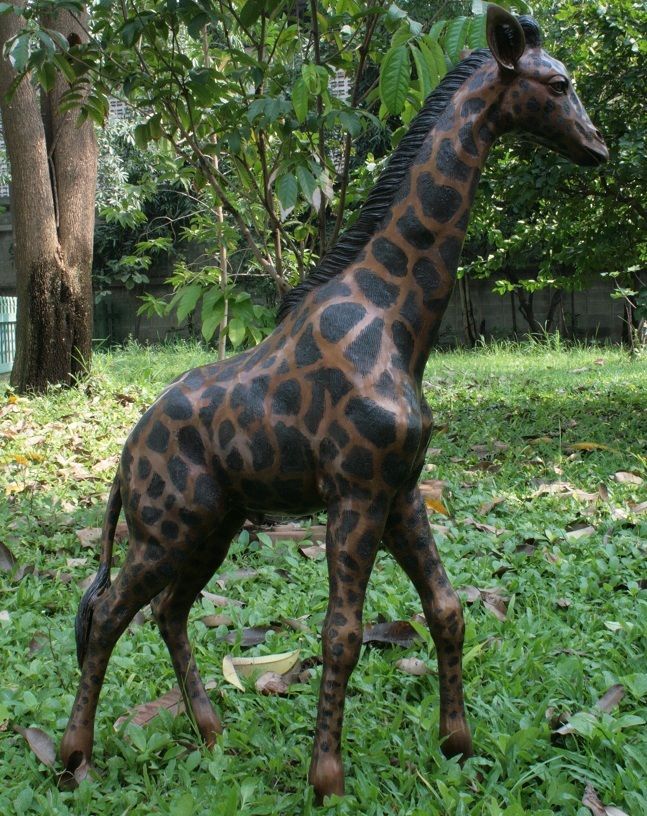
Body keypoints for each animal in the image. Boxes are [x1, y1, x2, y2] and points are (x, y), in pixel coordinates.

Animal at [61, 5, 608, 800]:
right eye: (558, 84)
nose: (597, 147)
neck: (398, 320)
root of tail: (123, 460)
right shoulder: (354, 489)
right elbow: (341, 633)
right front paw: (327, 777)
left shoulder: (400, 488)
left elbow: (447, 609)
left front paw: (457, 744)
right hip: (166, 528)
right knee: (107, 614)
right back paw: (73, 755)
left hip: (211, 526)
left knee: (165, 612)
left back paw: (212, 732)